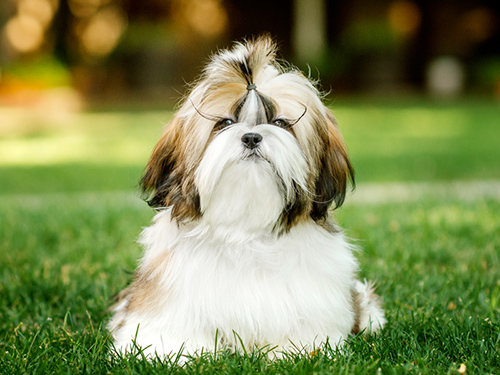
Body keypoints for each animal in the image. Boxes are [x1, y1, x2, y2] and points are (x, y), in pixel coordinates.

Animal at [107, 36, 384, 362]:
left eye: (281, 123)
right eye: (225, 122)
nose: (251, 137)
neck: (245, 229)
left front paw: (300, 350)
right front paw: (167, 350)